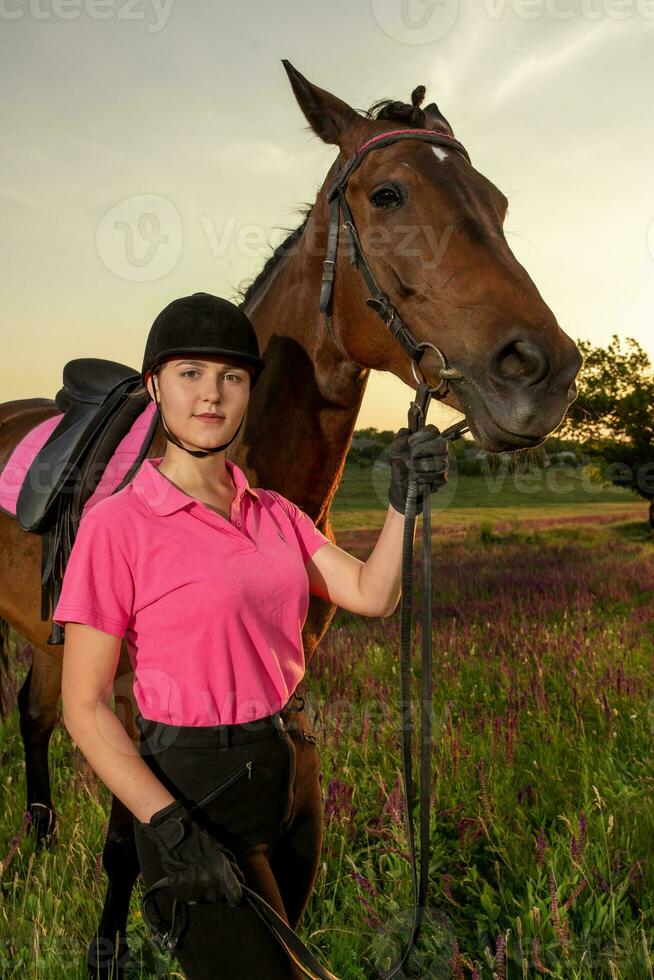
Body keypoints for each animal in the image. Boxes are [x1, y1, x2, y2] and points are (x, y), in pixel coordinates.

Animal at [0, 65, 584, 976]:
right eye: (388, 193)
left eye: (496, 200)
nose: (544, 371)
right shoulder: (132, 705)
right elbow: (132, 846)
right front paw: (107, 950)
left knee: (33, 713)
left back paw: (35, 844)